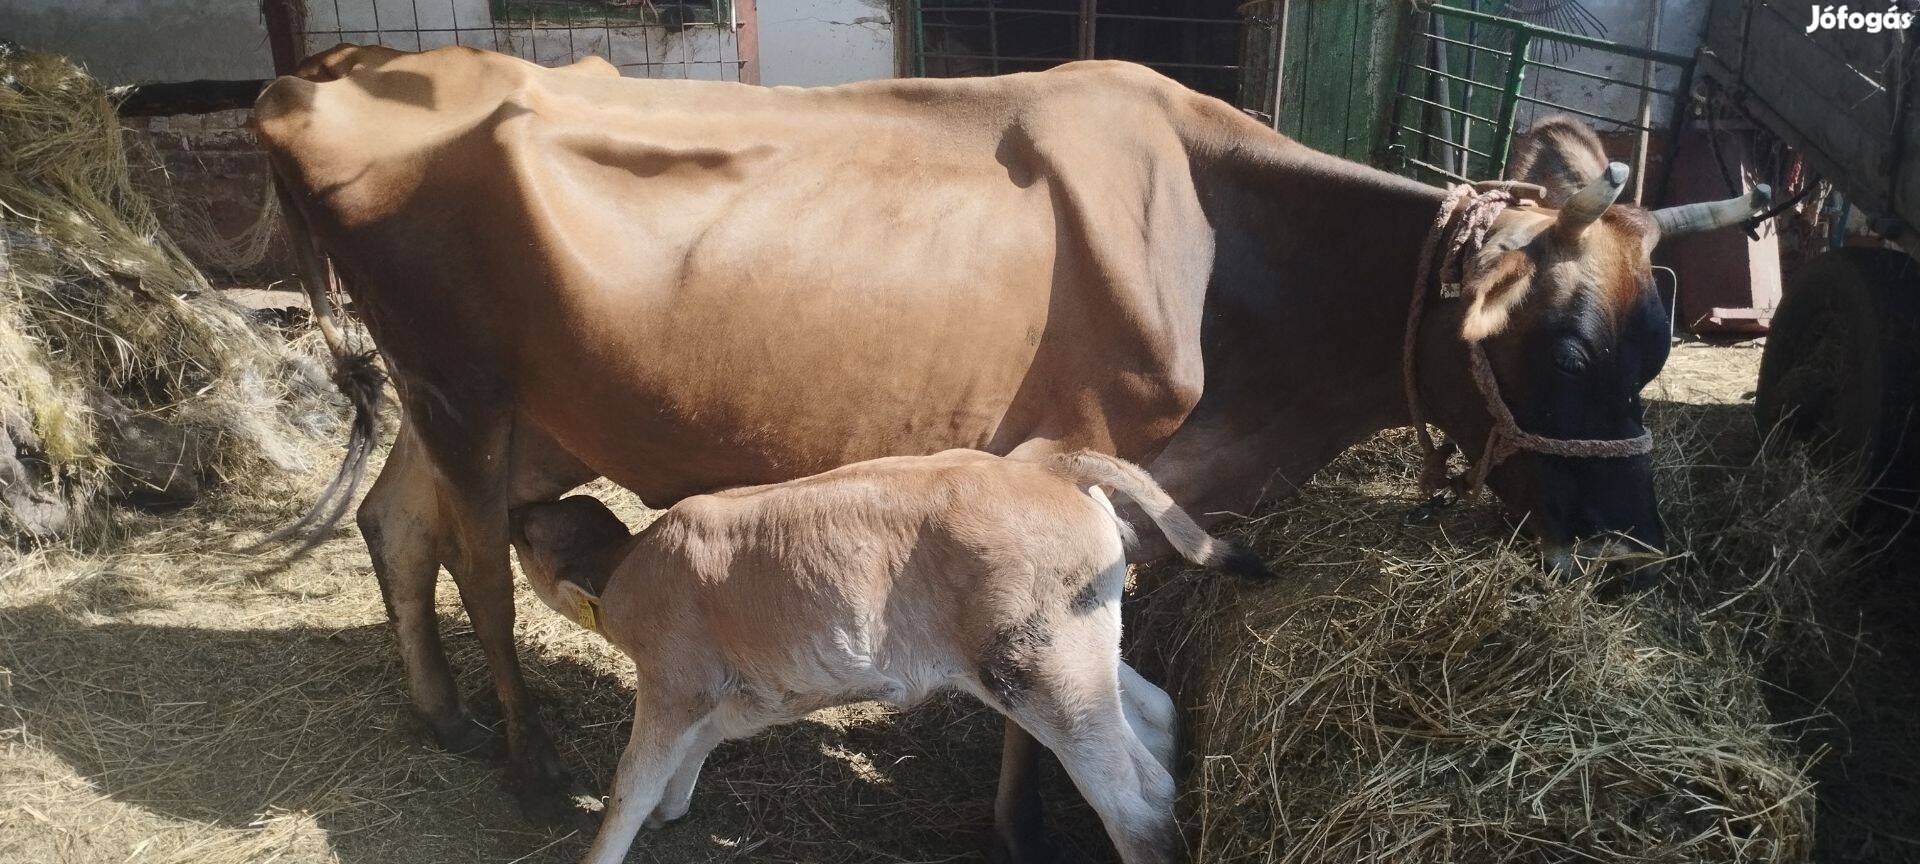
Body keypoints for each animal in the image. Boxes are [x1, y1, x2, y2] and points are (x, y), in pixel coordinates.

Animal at [259, 45, 1766, 856]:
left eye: (1658, 341)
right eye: (1560, 346)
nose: (1636, 552)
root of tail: (331, 73)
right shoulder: (1074, 452)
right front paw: (1021, 827)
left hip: (514, 416)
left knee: (396, 525)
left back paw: (441, 714)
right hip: (462, 388)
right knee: (477, 564)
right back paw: (522, 759)